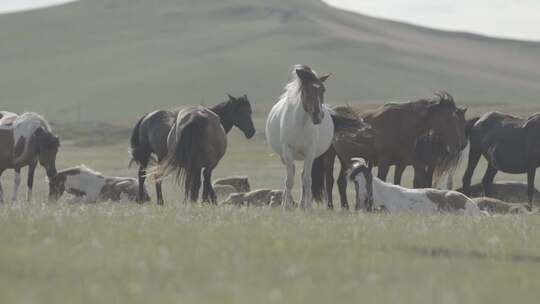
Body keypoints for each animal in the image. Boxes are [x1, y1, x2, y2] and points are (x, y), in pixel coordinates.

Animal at [264, 65, 332, 209]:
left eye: (323, 89)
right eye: (307, 90)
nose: (318, 116)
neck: (301, 124)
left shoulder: (310, 152)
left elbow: (307, 180)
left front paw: (308, 207)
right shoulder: (288, 150)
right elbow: (289, 180)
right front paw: (285, 206)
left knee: (302, 176)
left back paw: (301, 205)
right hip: (284, 156)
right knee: (291, 174)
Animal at [312, 92, 468, 209]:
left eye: (460, 120)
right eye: (448, 119)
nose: (461, 144)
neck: (402, 125)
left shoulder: (402, 164)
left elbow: (398, 182)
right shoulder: (385, 161)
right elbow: (382, 180)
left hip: (345, 158)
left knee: (341, 182)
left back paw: (345, 207)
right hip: (330, 155)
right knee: (330, 180)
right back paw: (331, 207)